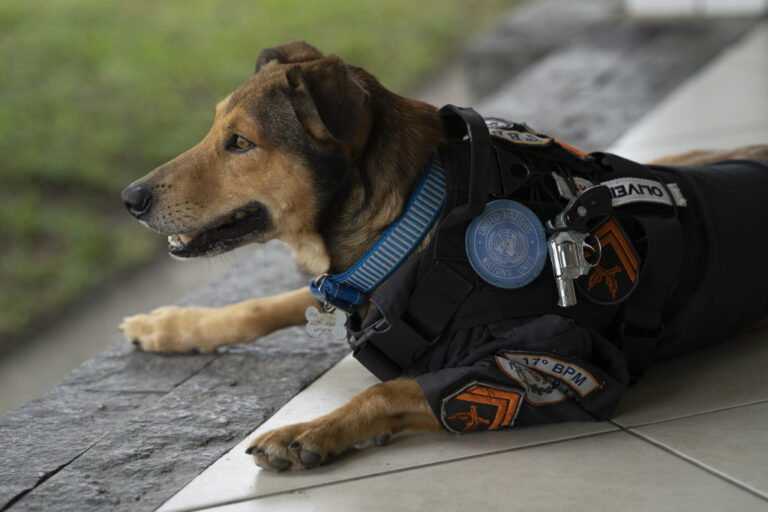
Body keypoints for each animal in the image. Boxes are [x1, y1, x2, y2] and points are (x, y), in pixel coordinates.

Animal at [120, 40, 768, 472]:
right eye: (213, 131)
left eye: (240, 143)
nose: (130, 199)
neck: (413, 227)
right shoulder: (354, 286)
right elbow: (272, 303)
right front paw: (174, 326)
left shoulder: (559, 367)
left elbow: (392, 390)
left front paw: (309, 431)